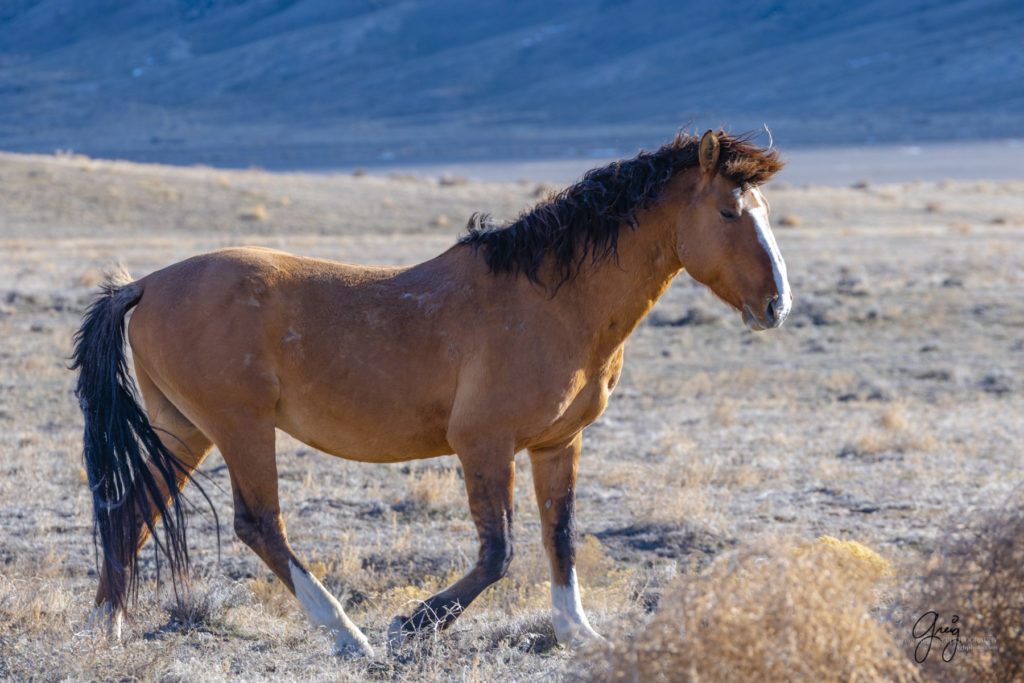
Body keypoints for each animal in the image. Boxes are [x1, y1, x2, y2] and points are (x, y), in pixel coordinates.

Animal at [74, 127, 790, 655]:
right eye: (729, 212)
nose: (776, 305)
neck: (553, 301)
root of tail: (145, 284)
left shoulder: (558, 444)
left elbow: (559, 535)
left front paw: (578, 633)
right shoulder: (483, 444)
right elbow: (498, 552)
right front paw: (412, 624)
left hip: (185, 429)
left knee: (129, 512)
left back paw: (104, 630)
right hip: (239, 427)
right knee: (258, 523)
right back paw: (349, 634)